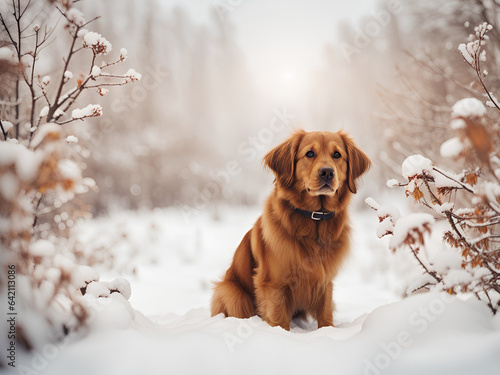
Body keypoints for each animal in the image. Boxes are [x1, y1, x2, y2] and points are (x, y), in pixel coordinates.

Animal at [209, 131, 370, 330]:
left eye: (337, 155)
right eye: (309, 153)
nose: (327, 172)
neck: (314, 221)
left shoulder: (325, 283)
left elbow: (325, 314)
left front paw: (328, 331)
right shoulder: (274, 285)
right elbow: (279, 319)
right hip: (231, 292)